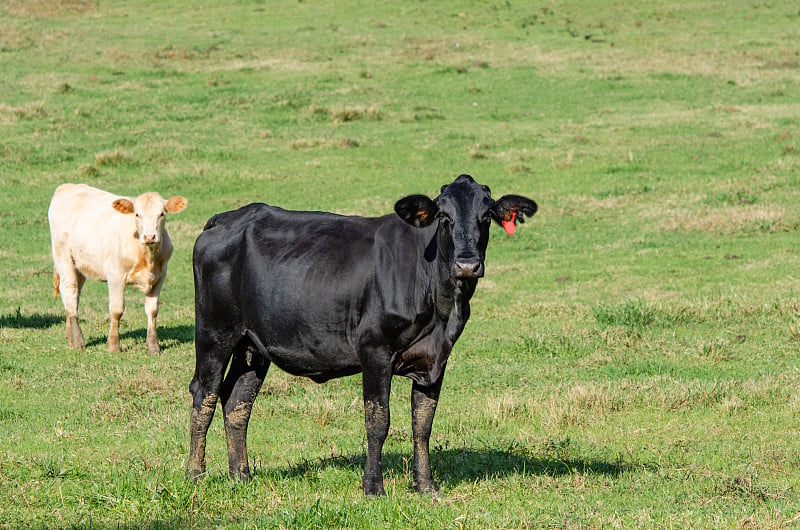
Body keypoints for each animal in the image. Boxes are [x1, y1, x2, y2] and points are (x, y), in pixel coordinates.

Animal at [188, 173, 536, 490]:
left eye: (486, 216)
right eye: (443, 216)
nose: (467, 265)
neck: (442, 308)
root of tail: (226, 218)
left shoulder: (436, 357)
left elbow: (423, 422)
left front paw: (426, 485)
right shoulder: (374, 350)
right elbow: (378, 420)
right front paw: (373, 486)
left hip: (252, 345)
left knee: (237, 401)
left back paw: (242, 477)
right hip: (214, 334)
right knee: (205, 395)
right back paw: (195, 475)